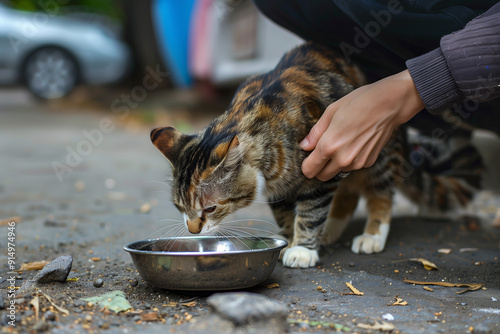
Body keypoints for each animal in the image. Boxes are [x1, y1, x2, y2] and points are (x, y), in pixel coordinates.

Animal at [150, 43, 478, 268]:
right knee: (347, 194)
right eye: (180, 207)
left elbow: (310, 211)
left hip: (376, 154)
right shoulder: (282, 188)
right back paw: (331, 229)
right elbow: (286, 214)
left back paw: (372, 234)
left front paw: (302, 248)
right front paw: (289, 239)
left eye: (210, 209)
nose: (192, 229)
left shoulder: (322, 170)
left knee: (379, 194)